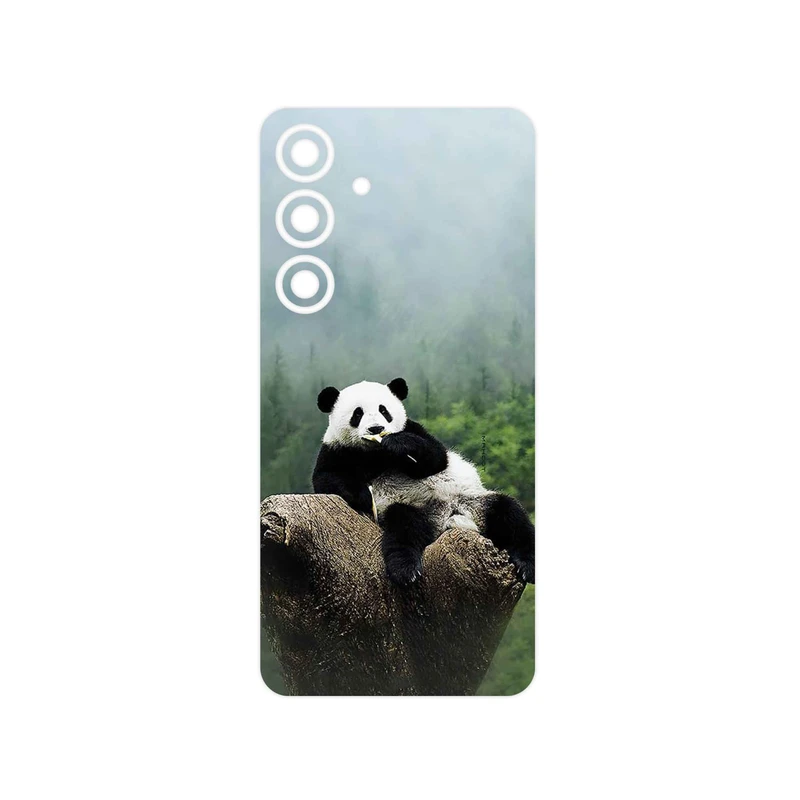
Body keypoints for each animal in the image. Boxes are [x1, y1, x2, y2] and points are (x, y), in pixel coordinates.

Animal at [312, 377, 535, 586]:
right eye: (357, 414)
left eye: (384, 410)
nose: (376, 429)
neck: (375, 453)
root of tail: (448, 518)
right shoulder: (336, 450)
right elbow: (326, 479)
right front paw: (364, 496)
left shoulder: (413, 428)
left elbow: (436, 457)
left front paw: (398, 444)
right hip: (413, 509)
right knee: (403, 527)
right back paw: (406, 570)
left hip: (474, 501)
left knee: (510, 514)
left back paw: (528, 566)